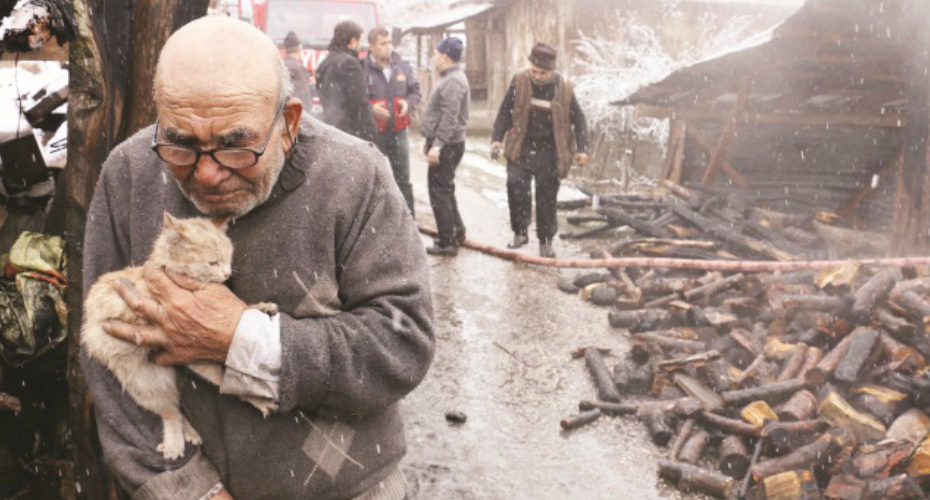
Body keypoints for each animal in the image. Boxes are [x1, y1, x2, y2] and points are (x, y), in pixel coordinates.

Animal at [82, 213, 276, 458]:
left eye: (228, 258)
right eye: (212, 262)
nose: (227, 273)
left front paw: (261, 307)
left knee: (188, 401)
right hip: (145, 383)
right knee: (171, 411)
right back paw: (174, 444)